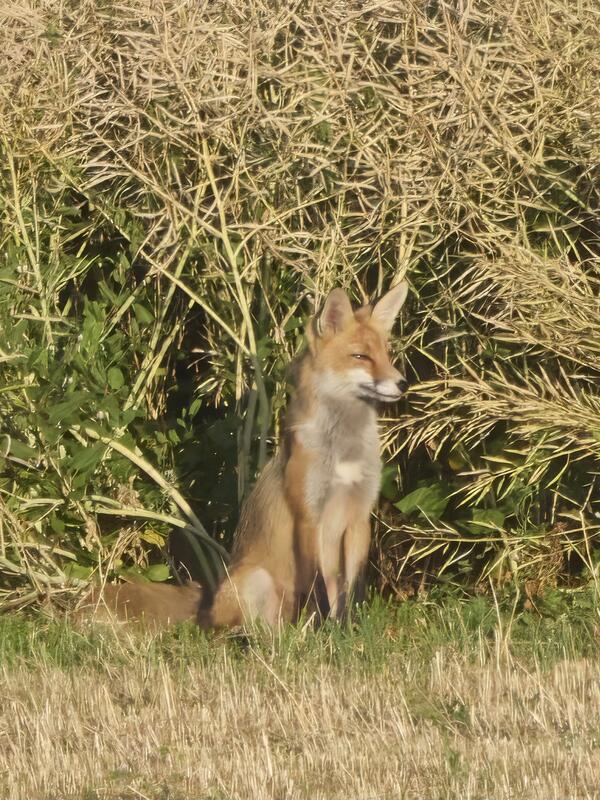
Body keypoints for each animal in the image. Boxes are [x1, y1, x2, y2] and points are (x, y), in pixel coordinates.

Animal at [76, 281, 409, 629]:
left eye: (386, 355)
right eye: (361, 357)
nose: (403, 384)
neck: (343, 456)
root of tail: (207, 602)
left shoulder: (359, 517)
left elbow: (354, 591)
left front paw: (350, 630)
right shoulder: (308, 514)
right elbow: (318, 590)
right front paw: (325, 631)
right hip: (256, 581)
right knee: (238, 630)